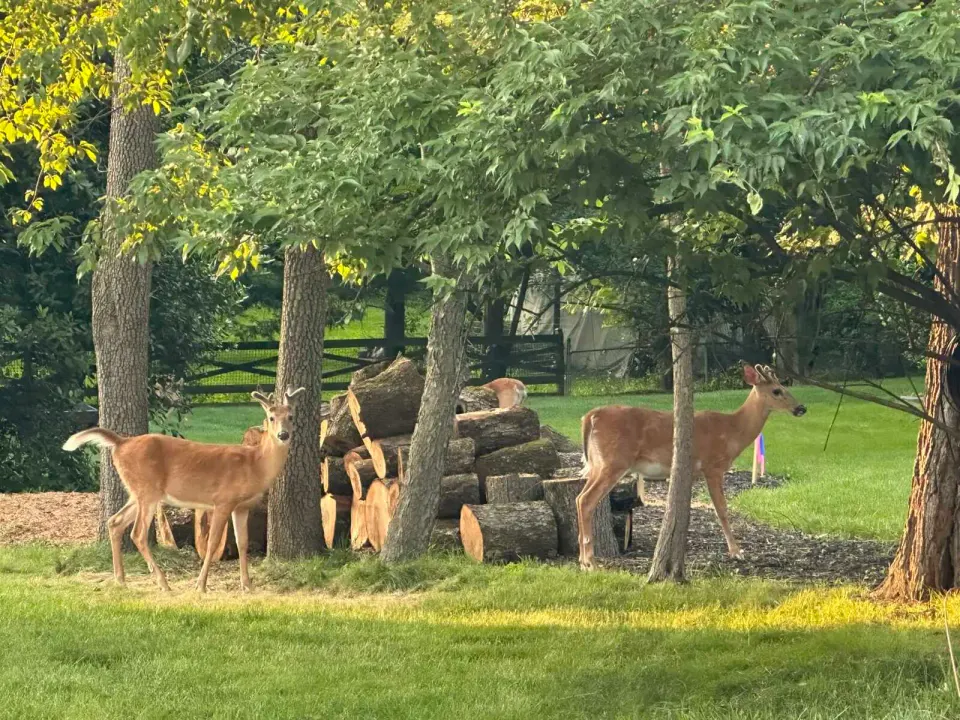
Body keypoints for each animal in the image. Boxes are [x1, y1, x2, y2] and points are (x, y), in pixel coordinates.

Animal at [62, 387, 305, 592]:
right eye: (271, 418)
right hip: (147, 490)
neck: (255, 464)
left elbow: (242, 543)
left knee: (115, 522)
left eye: (291, 417)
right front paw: (201, 585)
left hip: (137, 491)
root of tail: (121, 443)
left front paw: (247, 586)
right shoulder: (223, 500)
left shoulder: (242, 507)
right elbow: (213, 544)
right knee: (137, 533)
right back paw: (163, 583)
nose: (283, 435)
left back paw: (120, 579)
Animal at [577, 364, 805, 570]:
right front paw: (736, 552)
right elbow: (721, 509)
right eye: (777, 390)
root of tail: (590, 416)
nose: (801, 408)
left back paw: (582, 559)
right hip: (614, 461)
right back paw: (590, 562)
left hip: (596, 463)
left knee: (579, 498)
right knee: (586, 500)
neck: (733, 431)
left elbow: (685, 512)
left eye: (783, 386)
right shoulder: (713, 467)